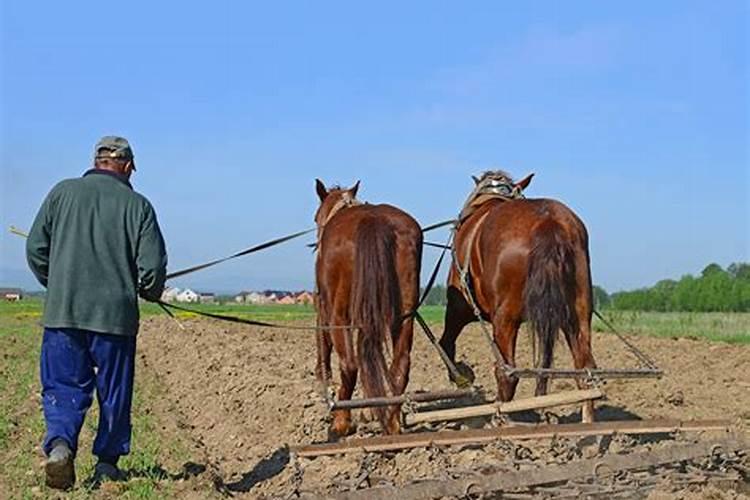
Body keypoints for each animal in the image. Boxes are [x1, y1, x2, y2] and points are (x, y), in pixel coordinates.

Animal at [316, 179, 424, 434]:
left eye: (316, 218)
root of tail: (373, 220)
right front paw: (370, 410)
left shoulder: (324, 310)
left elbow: (324, 346)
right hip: (404, 315)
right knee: (399, 366)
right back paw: (392, 422)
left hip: (339, 315)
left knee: (350, 364)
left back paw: (341, 421)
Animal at [440, 171, 600, 422]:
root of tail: (548, 222)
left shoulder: (458, 306)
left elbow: (445, 343)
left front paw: (462, 376)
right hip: (579, 313)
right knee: (585, 370)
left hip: (505, 318)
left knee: (507, 373)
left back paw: (500, 418)